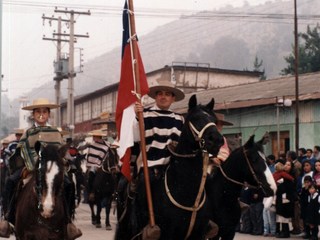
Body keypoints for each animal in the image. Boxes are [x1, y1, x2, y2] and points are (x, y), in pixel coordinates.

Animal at [115, 94, 225, 240]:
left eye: (214, 120)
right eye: (195, 118)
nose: (216, 140)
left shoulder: (199, 233)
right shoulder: (168, 233)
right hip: (125, 229)